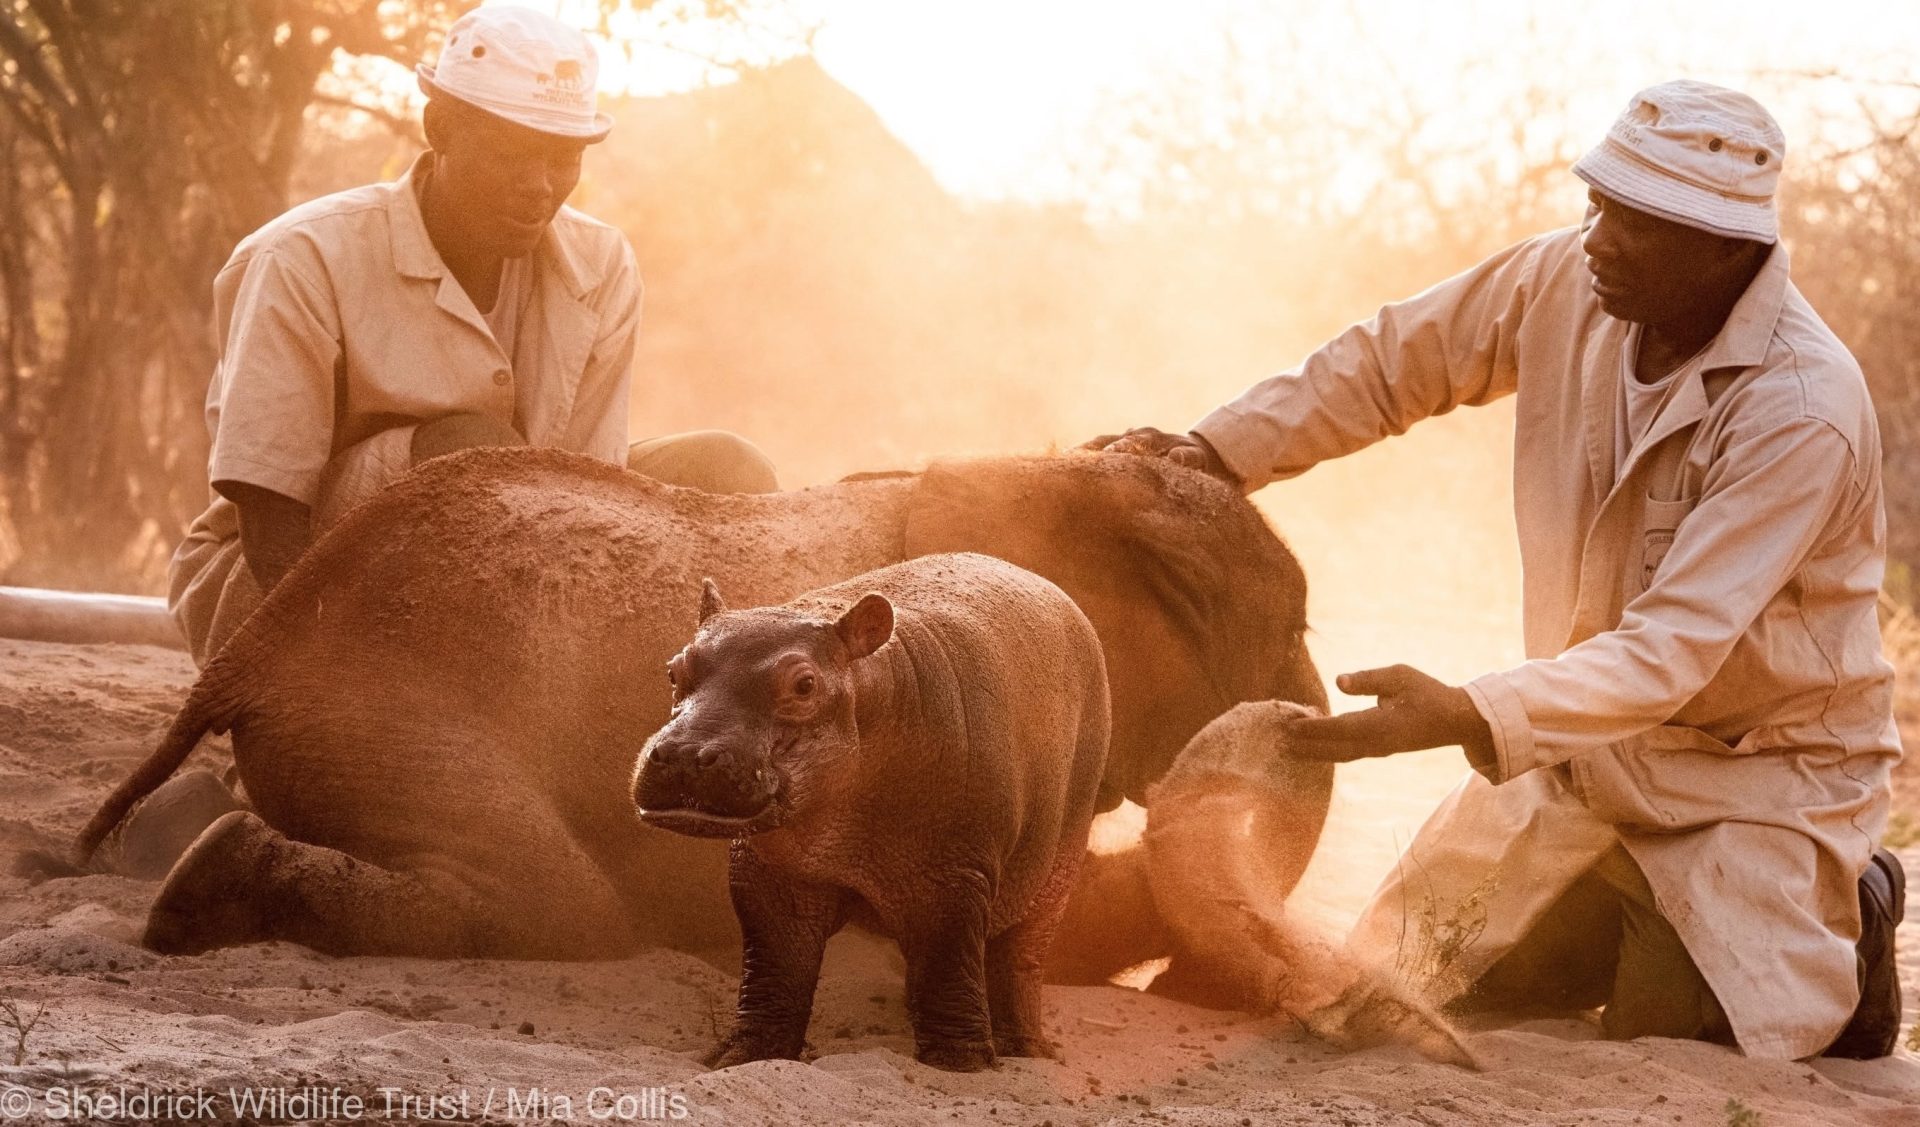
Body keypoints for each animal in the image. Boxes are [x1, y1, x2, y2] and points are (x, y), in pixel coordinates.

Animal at [634, 555, 1107, 1071]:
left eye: (805, 684)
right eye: (673, 670)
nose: (685, 754)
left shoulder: (955, 877)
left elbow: (948, 960)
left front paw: (960, 1064)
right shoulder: (770, 876)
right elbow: (775, 965)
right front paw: (743, 1056)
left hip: (1057, 868)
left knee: (1019, 957)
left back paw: (1026, 1050)